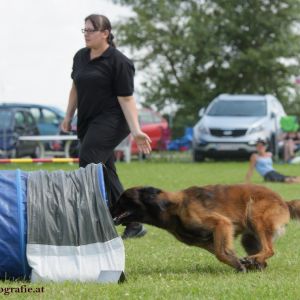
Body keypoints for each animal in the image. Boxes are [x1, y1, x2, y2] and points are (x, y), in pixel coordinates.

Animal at [112, 183, 300, 272]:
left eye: (122, 199)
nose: (109, 207)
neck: (171, 207)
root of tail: (284, 201)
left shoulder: (222, 224)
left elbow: (221, 253)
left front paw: (240, 266)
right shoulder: (207, 241)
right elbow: (222, 253)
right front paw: (239, 264)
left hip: (256, 217)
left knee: (270, 249)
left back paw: (255, 260)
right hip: (249, 238)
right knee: (263, 256)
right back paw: (256, 262)